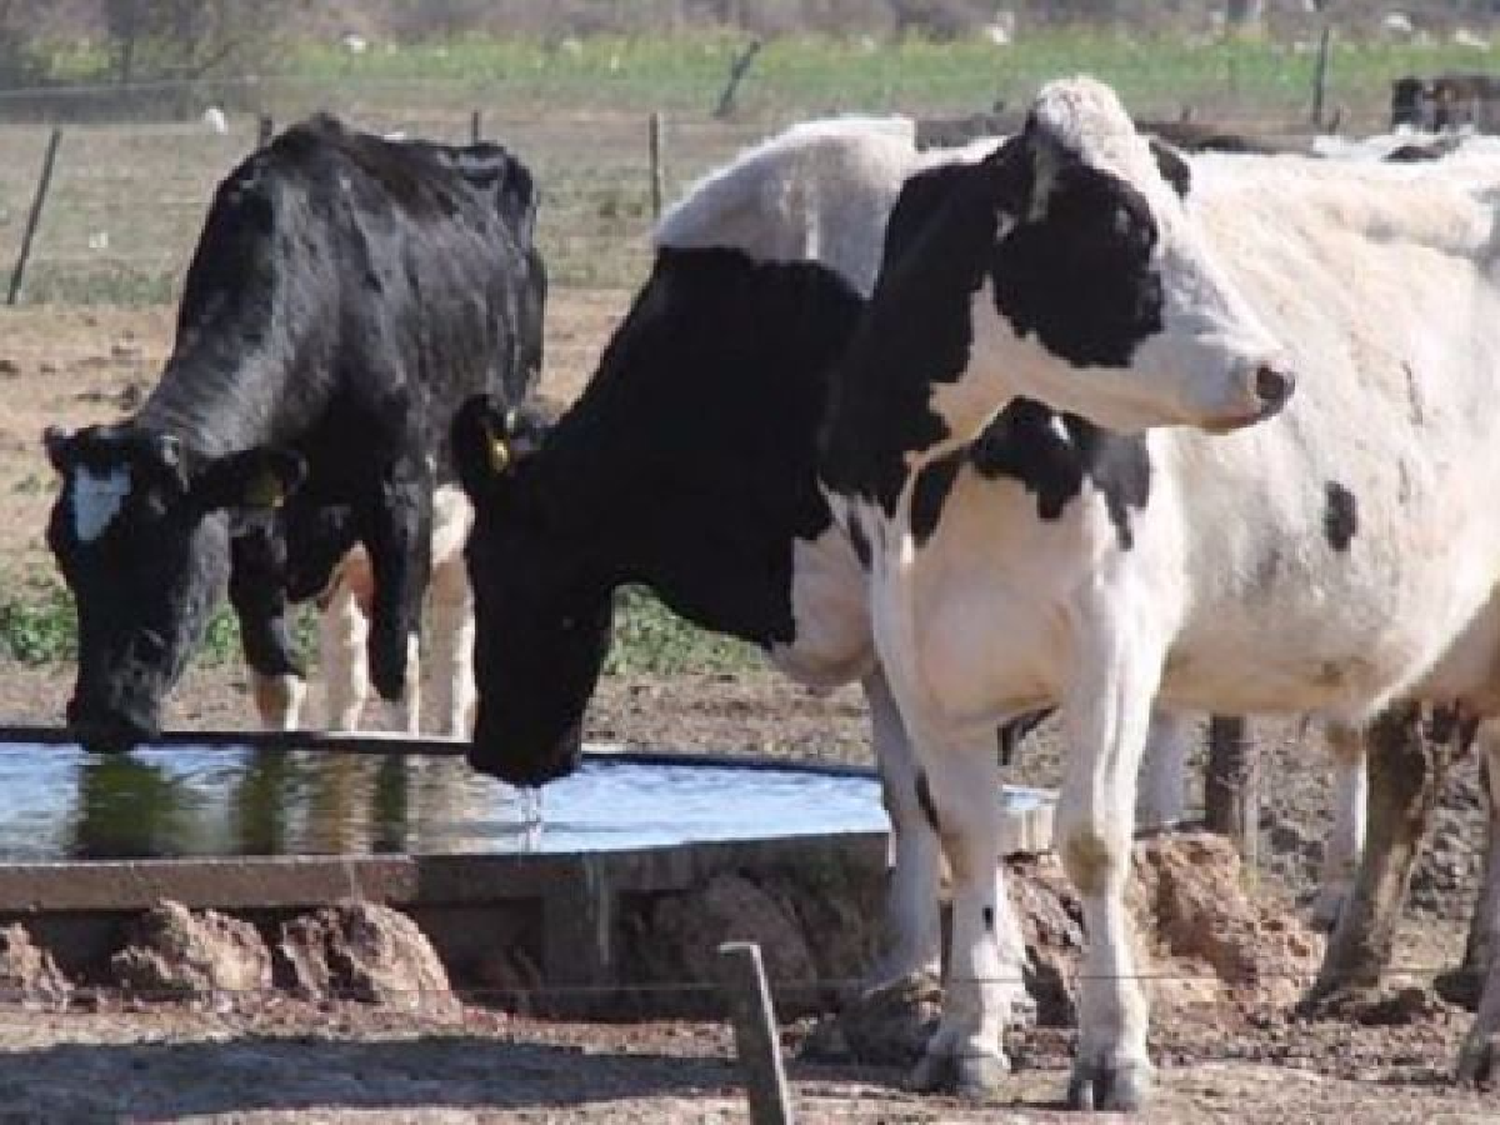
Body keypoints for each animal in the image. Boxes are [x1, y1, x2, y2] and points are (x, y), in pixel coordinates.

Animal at [42, 114, 552, 759]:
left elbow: (397, 670)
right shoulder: (253, 526)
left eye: (163, 554)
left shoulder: (402, 498)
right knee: (346, 671)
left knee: (454, 653)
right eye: (67, 558)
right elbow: (278, 681)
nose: (102, 717)